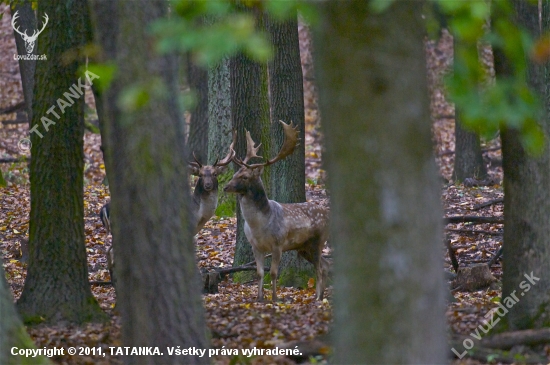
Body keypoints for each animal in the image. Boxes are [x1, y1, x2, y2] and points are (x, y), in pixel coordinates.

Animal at [225, 121, 330, 300]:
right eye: (235, 173)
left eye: (245, 177)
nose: (225, 187)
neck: (259, 225)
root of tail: (328, 214)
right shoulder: (255, 246)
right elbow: (259, 273)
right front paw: (259, 298)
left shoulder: (278, 243)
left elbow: (274, 273)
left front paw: (274, 298)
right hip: (303, 247)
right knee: (324, 264)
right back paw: (320, 296)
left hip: (319, 240)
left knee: (320, 267)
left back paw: (317, 298)